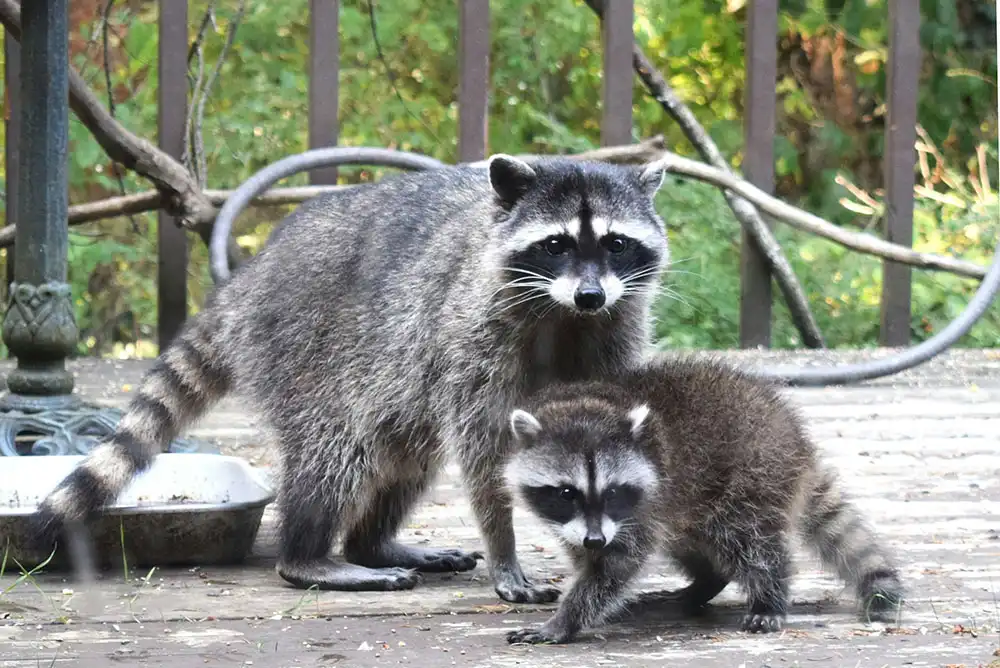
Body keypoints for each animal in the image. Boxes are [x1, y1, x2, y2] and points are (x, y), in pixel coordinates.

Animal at [31, 155, 670, 603]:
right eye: (556, 244)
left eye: (615, 243)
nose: (590, 294)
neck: (565, 316)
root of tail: (252, 277)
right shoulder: (472, 332)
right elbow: (486, 451)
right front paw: (505, 549)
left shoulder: (615, 330)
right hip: (302, 348)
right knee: (335, 454)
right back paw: (311, 555)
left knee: (405, 454)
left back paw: (372, 542)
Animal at [504, 356, 903, 643]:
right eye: (566, 493)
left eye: (613, 491)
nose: (595, 539)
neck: (587, 405)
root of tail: (796, 440)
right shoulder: (585, 523)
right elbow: (588, 556)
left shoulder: (641, 508)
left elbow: (614, 566)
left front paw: (566, 619)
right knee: (690, 541)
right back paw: (704, 583)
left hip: (754, 474)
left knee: (749, 541)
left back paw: (768, 594)